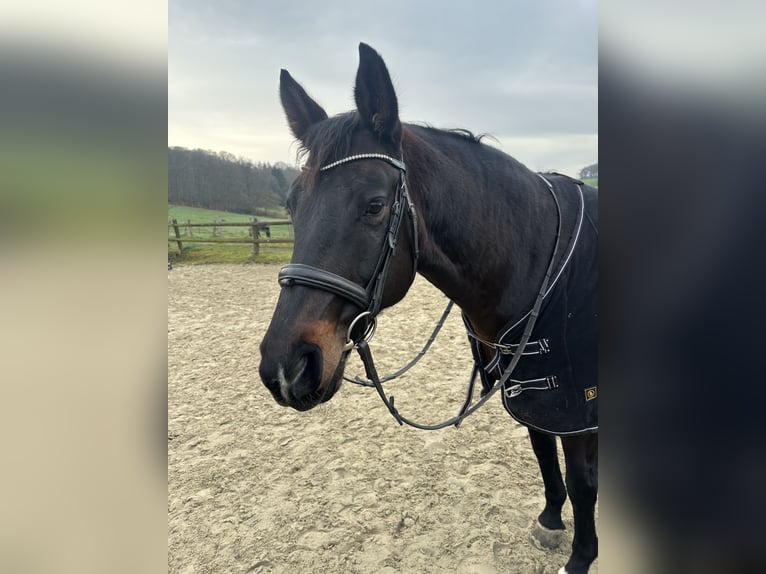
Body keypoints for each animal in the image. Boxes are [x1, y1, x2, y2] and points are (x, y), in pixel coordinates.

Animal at [259, 43, 598, 574]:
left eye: (375, 205)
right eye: (292, 206)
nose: (285, 367)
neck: (538, 262)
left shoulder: (577, 404)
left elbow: (584, 481)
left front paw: (582, 555)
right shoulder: (531, 389)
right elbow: (542, 449)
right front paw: (549, 519)